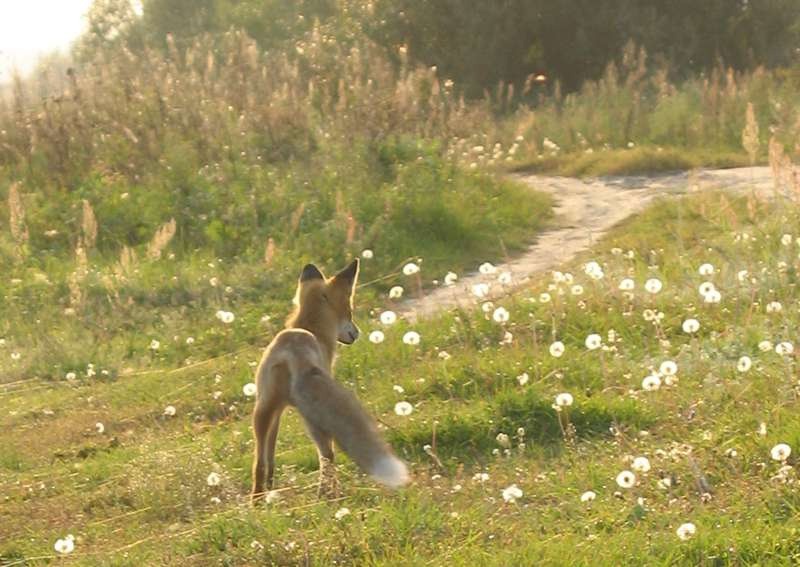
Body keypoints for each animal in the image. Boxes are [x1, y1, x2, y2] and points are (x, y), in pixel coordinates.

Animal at [251, 259, 410, 502]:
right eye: (350, 311)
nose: (357, 333)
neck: (311, 329)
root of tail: (292, 350)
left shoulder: (276, 411)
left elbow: (270, 458)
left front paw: (270, 486)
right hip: (311, 419)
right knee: (327, 455)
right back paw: (328, 494)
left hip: (262, 410)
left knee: (258, 463)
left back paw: (257, 502)